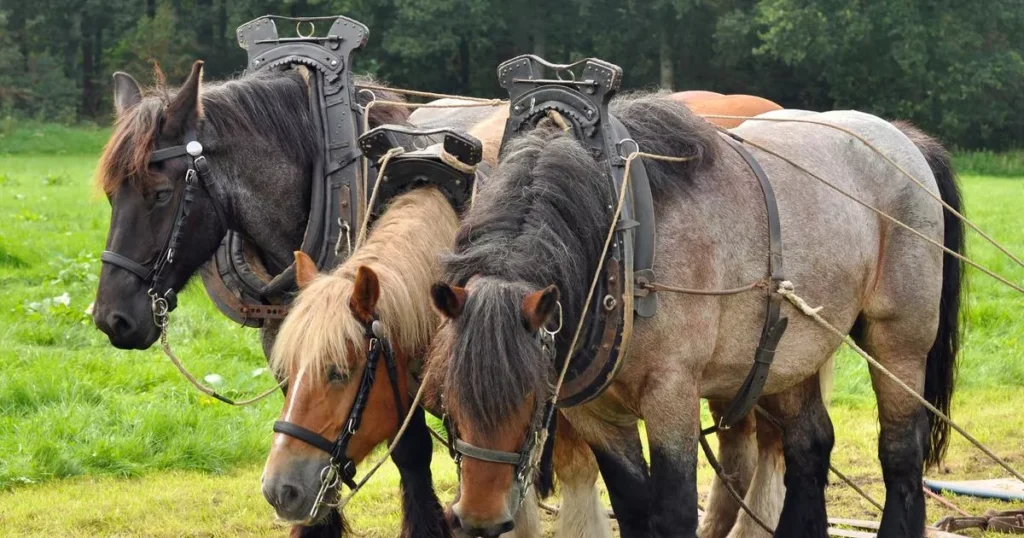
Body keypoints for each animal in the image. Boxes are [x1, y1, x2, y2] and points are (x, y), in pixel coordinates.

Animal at [428, 96, 962, 536]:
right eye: (448, 396)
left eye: (531, 395)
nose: (477, 519)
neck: (619, 243)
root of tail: (900, 137)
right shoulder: (595, 414)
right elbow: (633, 507)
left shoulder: (672, 393)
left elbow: (674, 510)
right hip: (792, 353)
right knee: (808, 447)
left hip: (899, 339)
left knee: (901, 453)